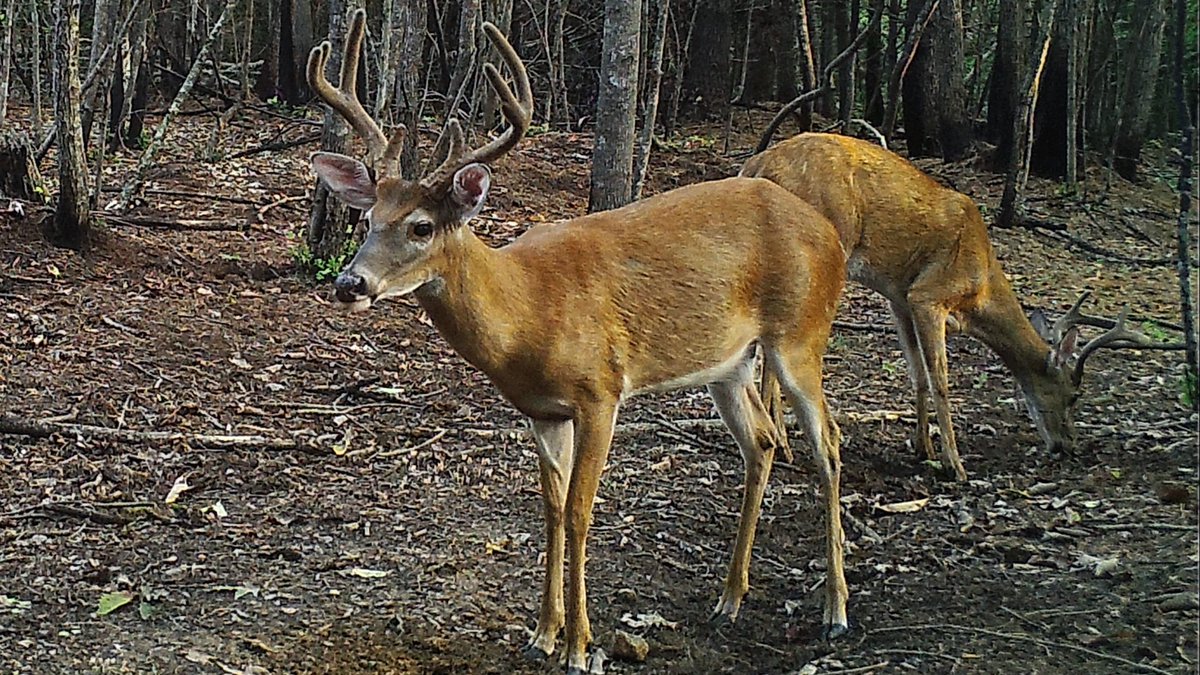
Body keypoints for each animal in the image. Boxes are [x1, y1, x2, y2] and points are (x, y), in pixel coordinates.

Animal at [309, 9, 854, 667]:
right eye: (368, 220)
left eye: (421, 226)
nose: (350, 283)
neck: (527, 315)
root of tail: (829, 233)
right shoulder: (542, 410)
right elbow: (549, 508)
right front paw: (541, 634)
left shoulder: (601, 393)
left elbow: (579, 512)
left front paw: (578, 645)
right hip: (728, 363)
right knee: (764, 440)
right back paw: (729, 599)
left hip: (801, 334)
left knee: (828, 443)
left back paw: (835, 611)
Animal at [739, 131, 1180, 478]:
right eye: (1074, 395)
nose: (1068, 447)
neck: (980, 288)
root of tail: (756, 163)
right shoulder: (930, 294)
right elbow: (942, 381)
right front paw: (955, 464)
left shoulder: (900, 298)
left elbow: (917, 373)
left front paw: (924, 449)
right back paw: (785, 444)